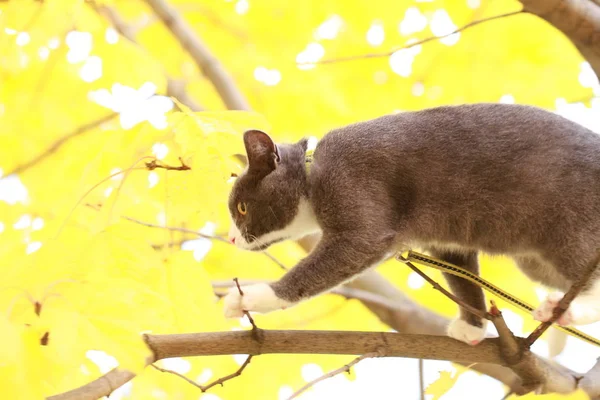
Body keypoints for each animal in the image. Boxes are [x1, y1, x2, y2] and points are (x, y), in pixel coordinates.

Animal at [223, 103, 600, 344]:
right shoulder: (447, 243)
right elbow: (464, 278)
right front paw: (474, 327)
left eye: (240, 208)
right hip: (534, 261)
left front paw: (251, 297)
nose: (230, 239)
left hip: (570, 218)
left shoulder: (357, 195)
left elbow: (340, 254)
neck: (313, 172)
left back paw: (566, 310)